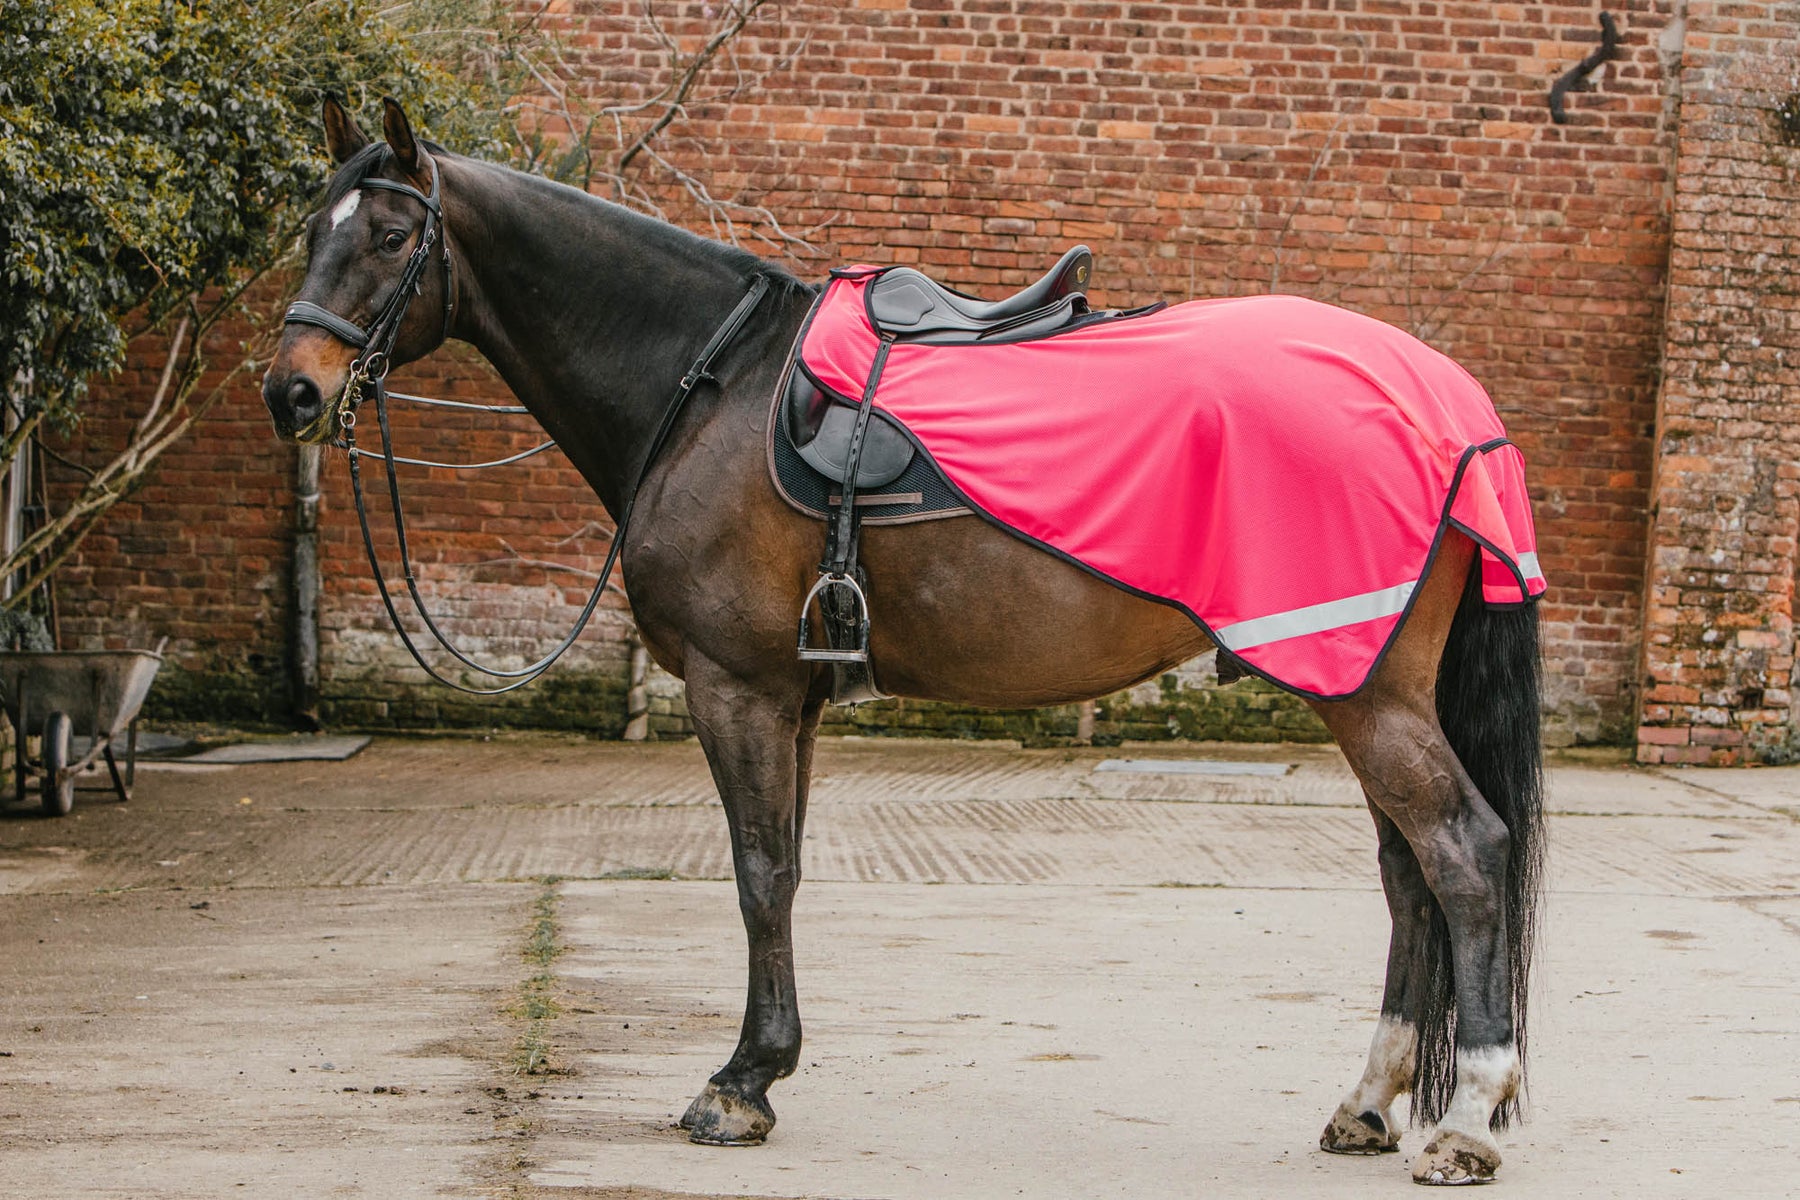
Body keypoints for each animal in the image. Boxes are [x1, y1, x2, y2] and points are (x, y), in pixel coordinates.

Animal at [261, 98, 1545, 1186]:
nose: (291, 392)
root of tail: (1447, 400)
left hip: (1365, 693)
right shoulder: (795, 695)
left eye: (389, 235)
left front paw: (741, 1084)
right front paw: (767, 1066)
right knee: (1409, 876)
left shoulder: (739, 689)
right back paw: (1370, 1102)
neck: (712, 385)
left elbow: (756, 873)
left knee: (1465, 855)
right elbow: (783, 870)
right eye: (312, 228)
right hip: (1365, 686)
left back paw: (1469, 1122)